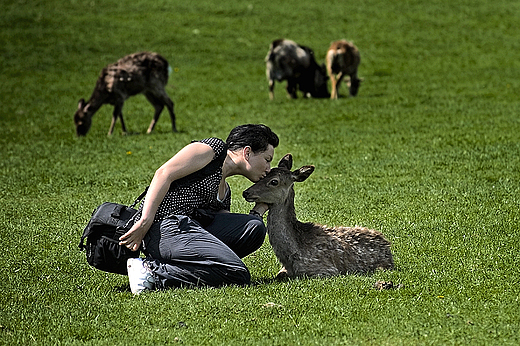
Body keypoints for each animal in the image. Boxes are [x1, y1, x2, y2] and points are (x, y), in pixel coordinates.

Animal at [244, 154, 394, 278]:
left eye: (274, 181)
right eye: (263, 176)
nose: (246, 192)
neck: (291, 257)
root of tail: (387, 246)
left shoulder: (326, 270)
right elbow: (279, 274)